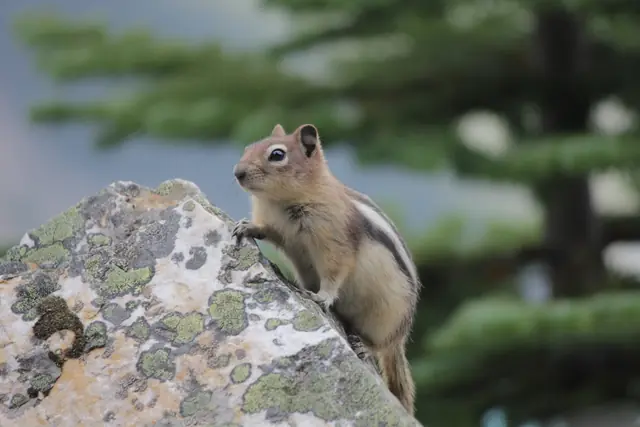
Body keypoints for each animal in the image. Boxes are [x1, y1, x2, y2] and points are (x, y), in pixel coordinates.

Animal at [231, 123, 420, 415]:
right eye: (247, 147)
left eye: (277, 155)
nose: (237, 172)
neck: (280, 202)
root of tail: (401, 336)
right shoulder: (280, 230)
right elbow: (267, 231)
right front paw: (247, 226)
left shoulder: (334, 242)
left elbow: (335, 272)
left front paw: (321, 296)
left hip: (386, 317)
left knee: (382, 345)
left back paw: (366, 346)